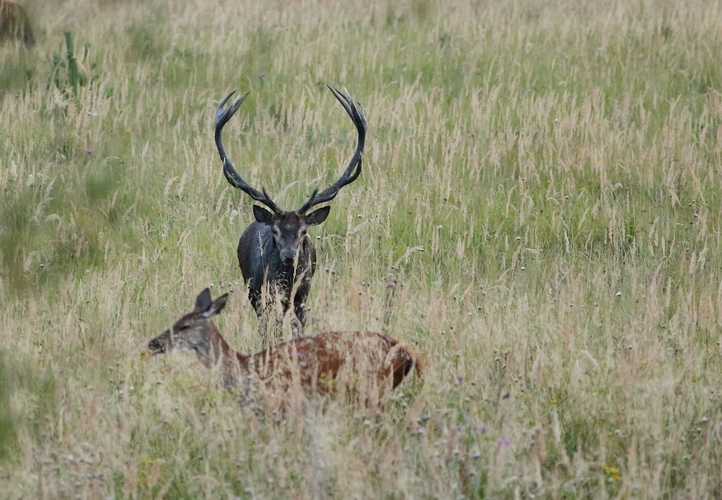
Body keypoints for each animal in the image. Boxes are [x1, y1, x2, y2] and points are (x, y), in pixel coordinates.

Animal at [211, 86, 362, 344]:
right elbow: (271, 329)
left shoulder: (303, 294)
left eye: (304, 231)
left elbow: (298, 328)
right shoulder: (264, 292)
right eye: (275, 230)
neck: (287, 283)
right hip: (253, 288)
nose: (289, 256)